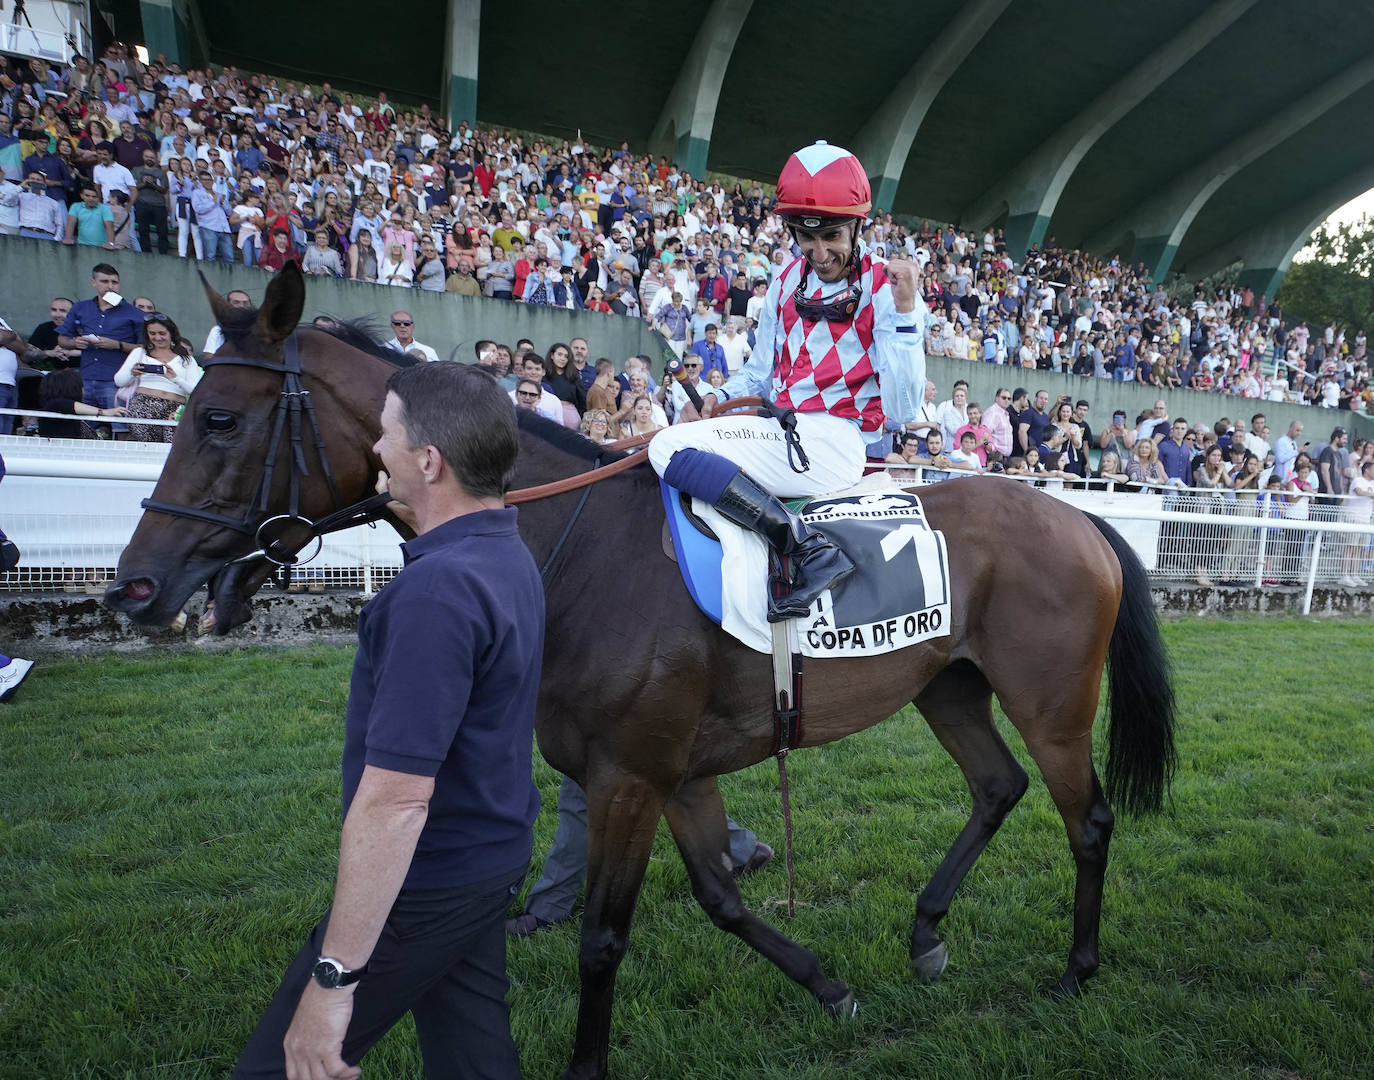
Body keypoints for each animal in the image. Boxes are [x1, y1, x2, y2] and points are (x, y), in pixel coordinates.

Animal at [109, 262, 1181, 1077]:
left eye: (218, 420)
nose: (135, 584)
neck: (576, 546)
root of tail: (1079, 516)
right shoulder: (676, 772)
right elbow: (722, 899)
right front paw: (829, 985)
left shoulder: (629, 774)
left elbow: (603, 939)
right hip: (946, 686)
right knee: (997, 789)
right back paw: (926, 931)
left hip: (1050, 703)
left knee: (1086, 819)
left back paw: (1078, 968)